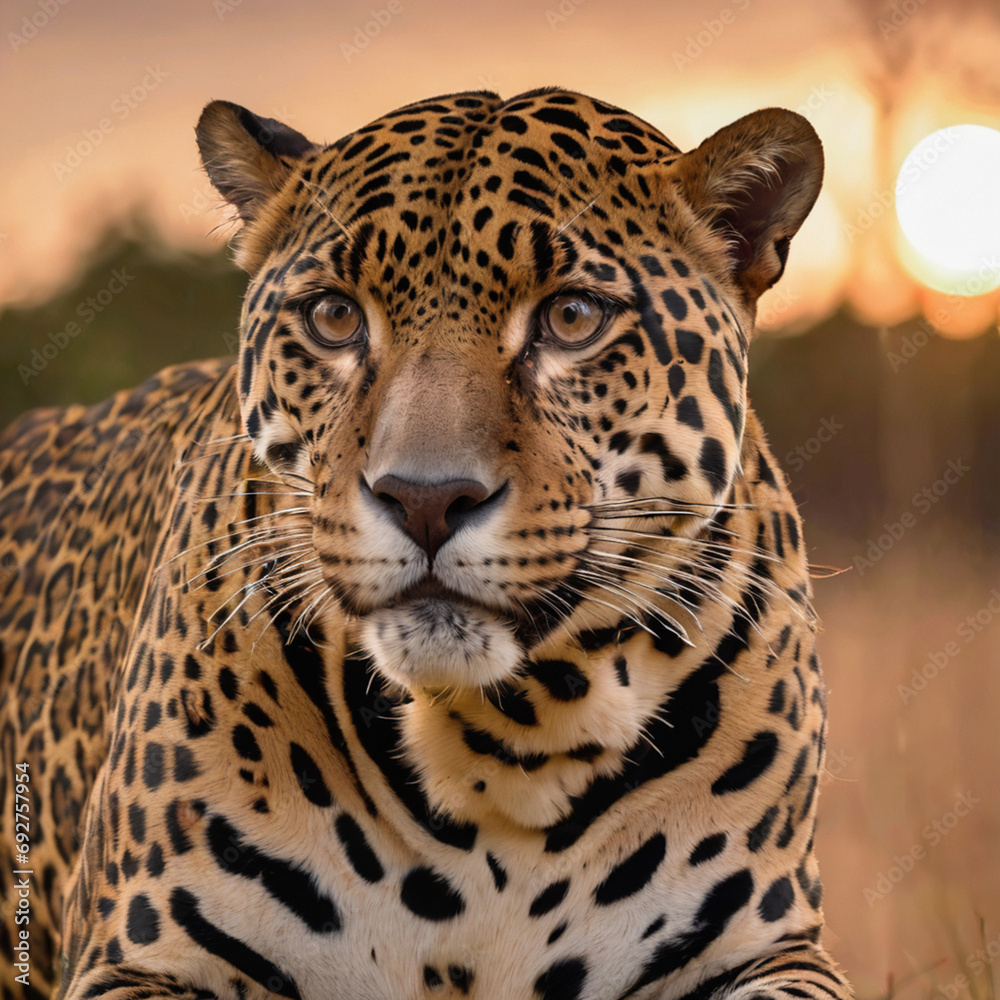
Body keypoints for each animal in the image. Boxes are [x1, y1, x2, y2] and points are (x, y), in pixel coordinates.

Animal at [0, 87, 853, 1000]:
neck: (513, 745)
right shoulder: (140, 956)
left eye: (572, 317)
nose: (426, 499)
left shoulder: (772, 944)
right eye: (334, 316)